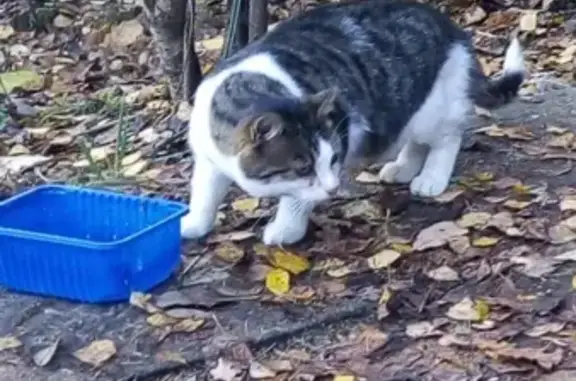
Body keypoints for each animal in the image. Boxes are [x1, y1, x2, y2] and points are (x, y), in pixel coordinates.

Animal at [181, 0, 528, 245]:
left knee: (446, 136)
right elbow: (205, 194)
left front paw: (286, 228)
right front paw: (194, 223)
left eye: (334, 159)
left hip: (433, 105)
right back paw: (402, 168)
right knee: (414, 137)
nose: (334, 188)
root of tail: (452, 28)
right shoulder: (208, 158)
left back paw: (431, 177)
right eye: (303, 167)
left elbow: (296, 198)